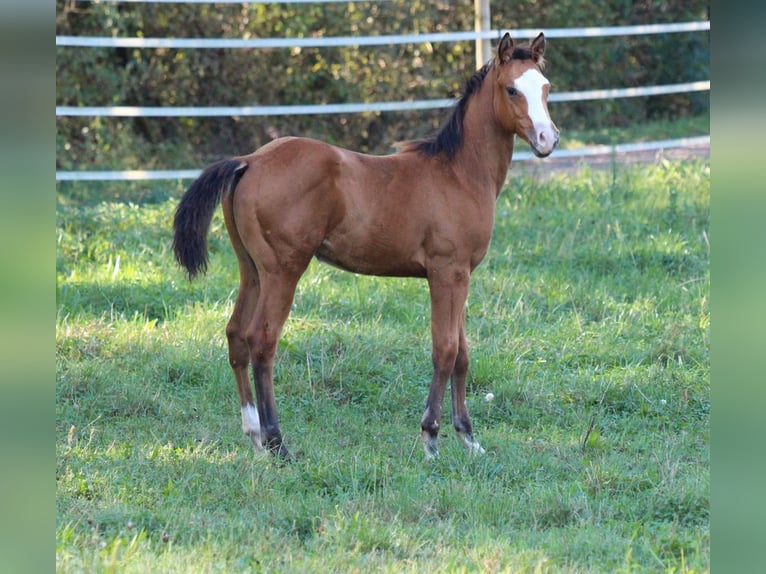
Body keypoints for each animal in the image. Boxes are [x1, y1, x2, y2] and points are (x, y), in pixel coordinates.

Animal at [172, 32, 560, 464]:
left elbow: (462, 353)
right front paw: (430, 437)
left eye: (546, 88)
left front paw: (469, 439)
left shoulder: (461, 276)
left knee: (236, 335)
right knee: (262, 341)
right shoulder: (447, 272)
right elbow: (444, 349)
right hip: (283, 271)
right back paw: (278, 442)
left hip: (251, 269)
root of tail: (249, 162)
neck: (458, 173)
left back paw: (255, 437)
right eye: (511, 89)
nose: (548, 140)